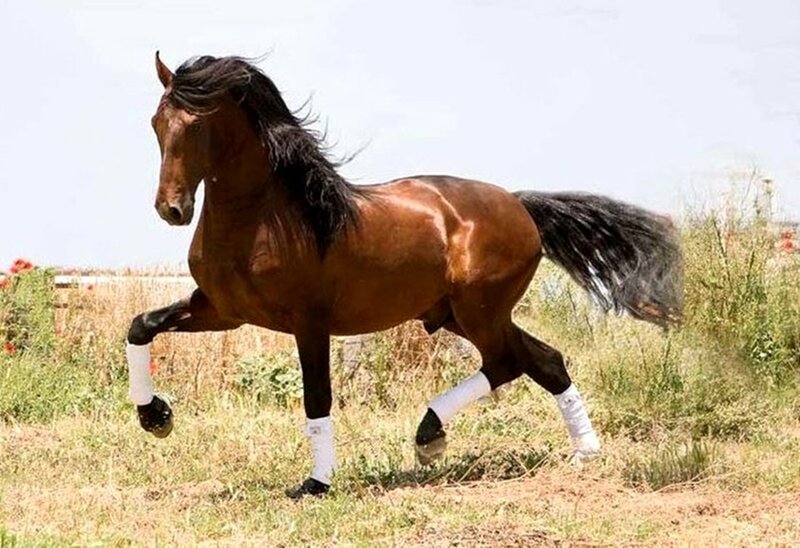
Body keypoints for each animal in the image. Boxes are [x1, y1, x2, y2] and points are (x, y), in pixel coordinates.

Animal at [126, 52, 682, 498]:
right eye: (156, 122)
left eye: (196, 126)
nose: (171, 209)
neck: (267, 216)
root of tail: (520, 206)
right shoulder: (221, 311)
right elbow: (140, 326)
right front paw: (155, 417)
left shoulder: (309, 322)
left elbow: (317, 397)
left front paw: (316, 484)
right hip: (458, 314)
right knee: (545, 360)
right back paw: (585, 451)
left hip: (479, 312)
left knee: (505, 363)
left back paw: (429, 436)